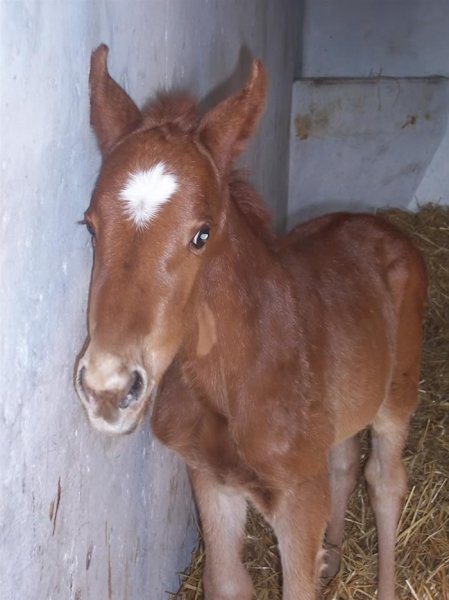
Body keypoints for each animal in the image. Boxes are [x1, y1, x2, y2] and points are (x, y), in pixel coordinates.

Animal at [75, 44, 426, 596]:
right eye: (90, 226)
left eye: (201, 234)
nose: (107, 389)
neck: (234, 375)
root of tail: (381, 225)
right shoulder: (210, 480)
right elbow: (227, 582)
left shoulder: (299, 499)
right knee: (344, 460)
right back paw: (333, 555)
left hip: (399, 392)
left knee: (386, 482)